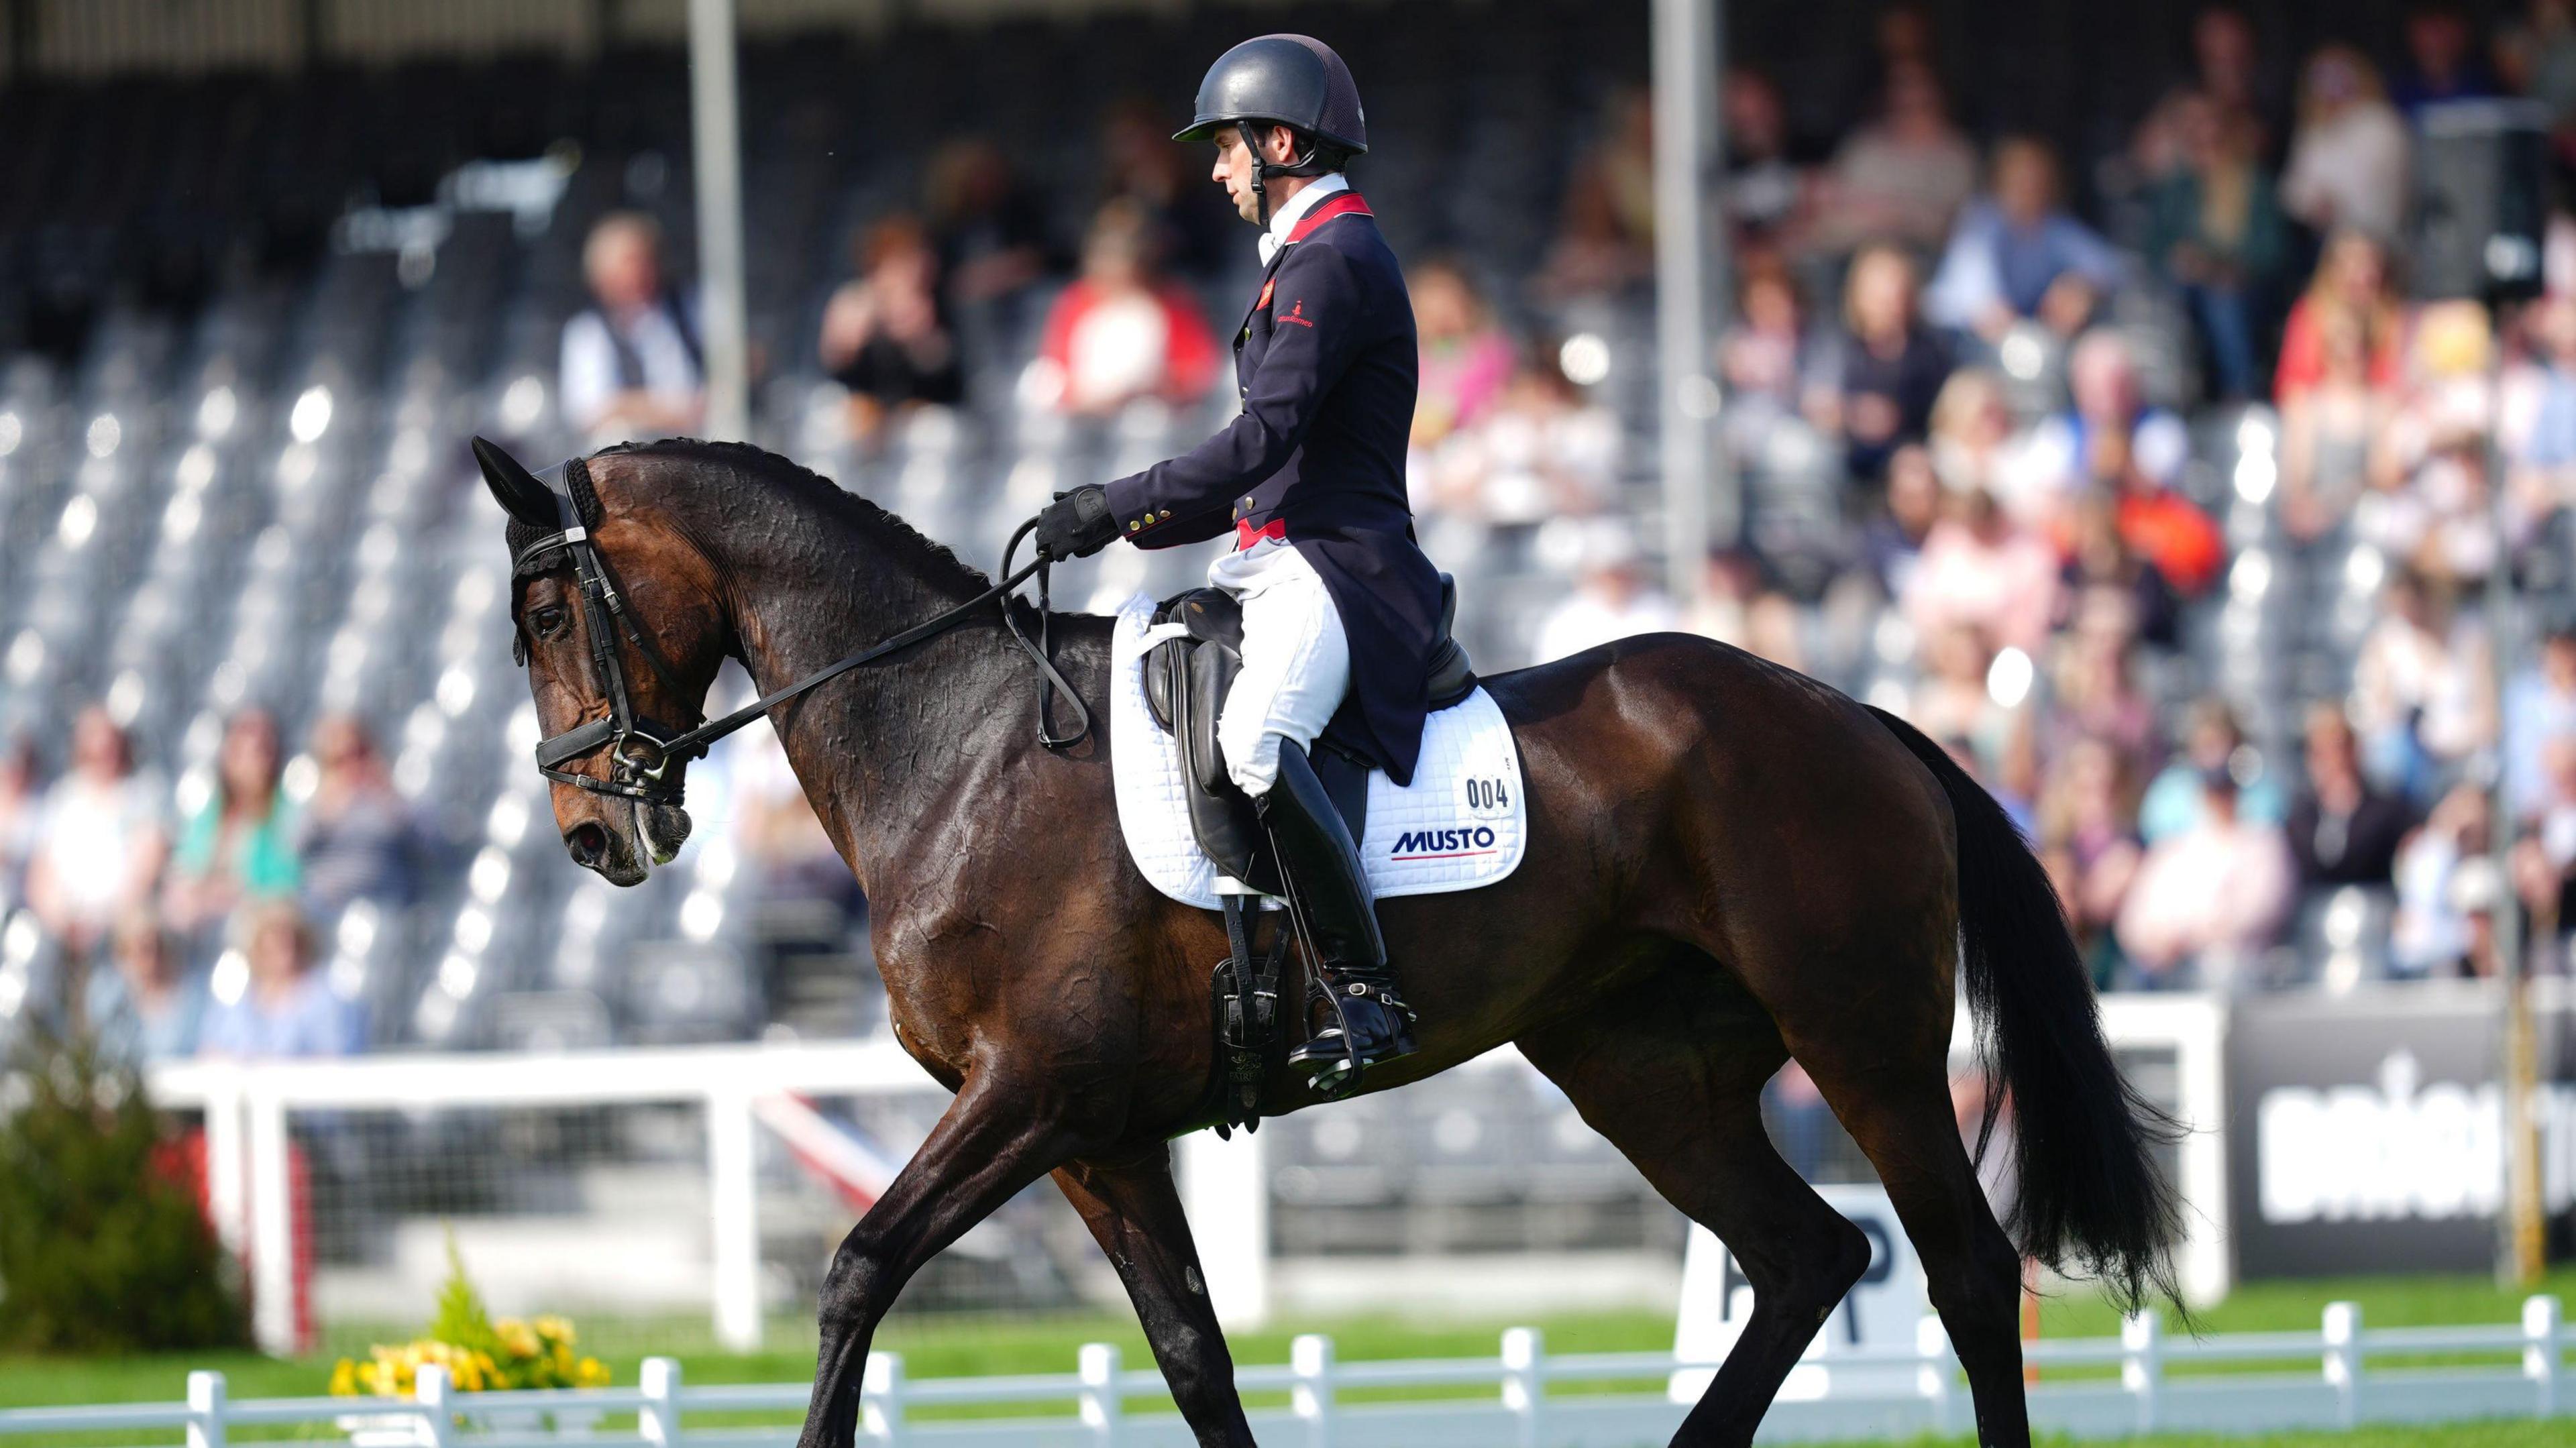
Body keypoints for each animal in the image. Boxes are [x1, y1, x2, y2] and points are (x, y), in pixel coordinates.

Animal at [479, 438, 2174, 1443]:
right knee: (1807, 1254)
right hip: (1642, 1070)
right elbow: (1189, 1347)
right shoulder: (1093, 1131)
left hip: (1861, 1036)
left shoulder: (1029, 1093)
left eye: (550, 614)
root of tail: (1860, 717)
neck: (953, 741)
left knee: (1962, 1268)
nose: (593, 836)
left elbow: (854, 1272)